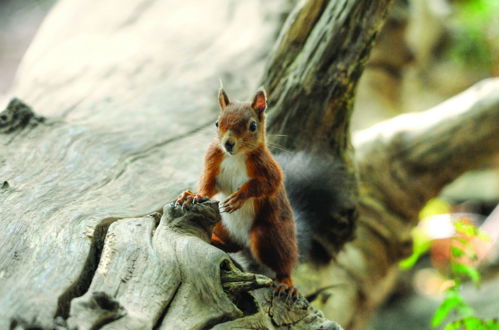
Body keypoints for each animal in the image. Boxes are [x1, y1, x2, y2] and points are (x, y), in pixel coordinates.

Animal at [178, 88, 298, 294]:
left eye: (253, 126)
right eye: (217, 123)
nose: (228, 143)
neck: (235, 156)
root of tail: (244, 242)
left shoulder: (268, 168)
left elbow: (267, 184)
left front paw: (238, 198)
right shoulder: (213, 160)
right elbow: (207, 184)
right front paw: (193, 195)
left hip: (270, 235)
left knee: (283, 261)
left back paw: (285, 282)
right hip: (221, 224)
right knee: (230, 245)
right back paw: (215, 240)